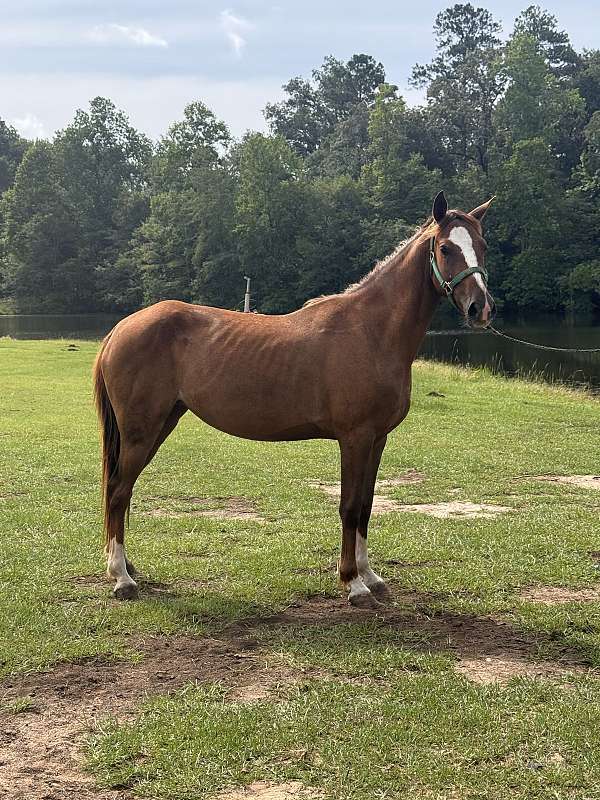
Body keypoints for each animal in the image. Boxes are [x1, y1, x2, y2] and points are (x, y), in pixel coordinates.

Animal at [93, 191, 495, 608]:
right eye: (446, 248)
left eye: (483, 246)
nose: (480, 308)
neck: (371, 331)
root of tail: (120, 328)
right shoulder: (355, 438)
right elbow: (350, 507)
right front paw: (353, 582)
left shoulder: (377, 439)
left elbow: (367, 506)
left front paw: (371, 575)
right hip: (141, 432)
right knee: (118, 492)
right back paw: (121, 578)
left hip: (161, 423)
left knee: (122, 492)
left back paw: (126, 567)